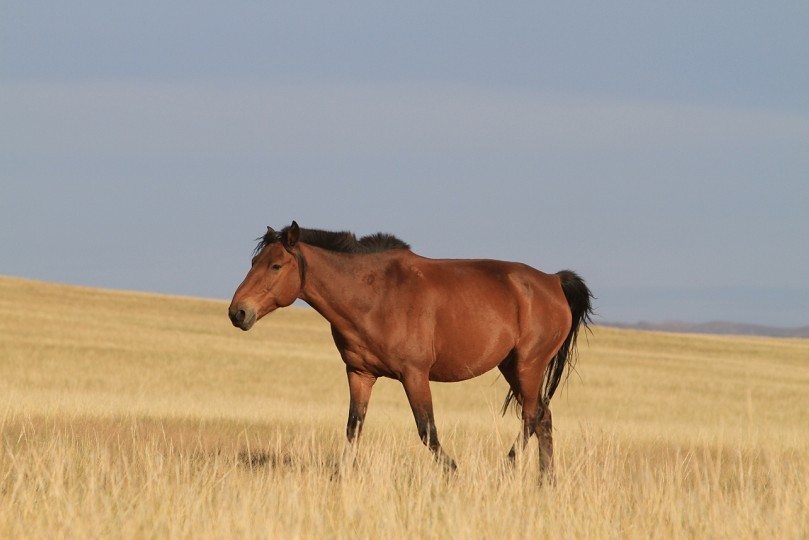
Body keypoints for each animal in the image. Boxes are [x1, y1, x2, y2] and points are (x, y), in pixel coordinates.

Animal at [227, 220, 592, 476]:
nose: (238, 312)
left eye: (276, 265)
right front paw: (340, 478)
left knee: (532, 416)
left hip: (527, 365)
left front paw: (453, 473)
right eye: (254, 262)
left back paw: (505, 471)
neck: (375, 295)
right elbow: (353, 427)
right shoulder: (359, 373)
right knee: (543, 417)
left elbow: (427, 430)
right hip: (512, 367)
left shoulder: (415, 375)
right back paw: (545, 482)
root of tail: (552, 281)